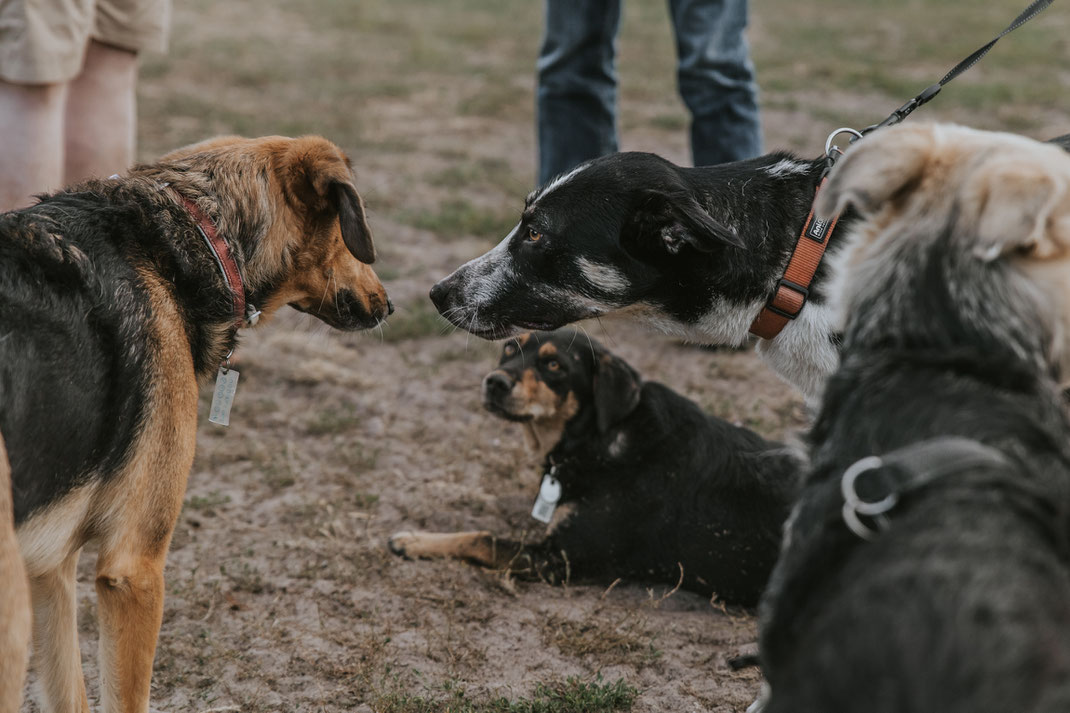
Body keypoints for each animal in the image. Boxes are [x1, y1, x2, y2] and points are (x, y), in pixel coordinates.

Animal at [0, 134, 393, 710]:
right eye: (352, 232)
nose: (392, 306)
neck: (198, 232)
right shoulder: (133, 569)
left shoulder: (50, 569)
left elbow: (69, 691)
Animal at [389, 329, 800, 603]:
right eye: (508, 348)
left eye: (554, 364)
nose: (494, 382)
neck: (595, 437)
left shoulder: (559, 560)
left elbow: (482, 538)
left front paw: (414, 540)